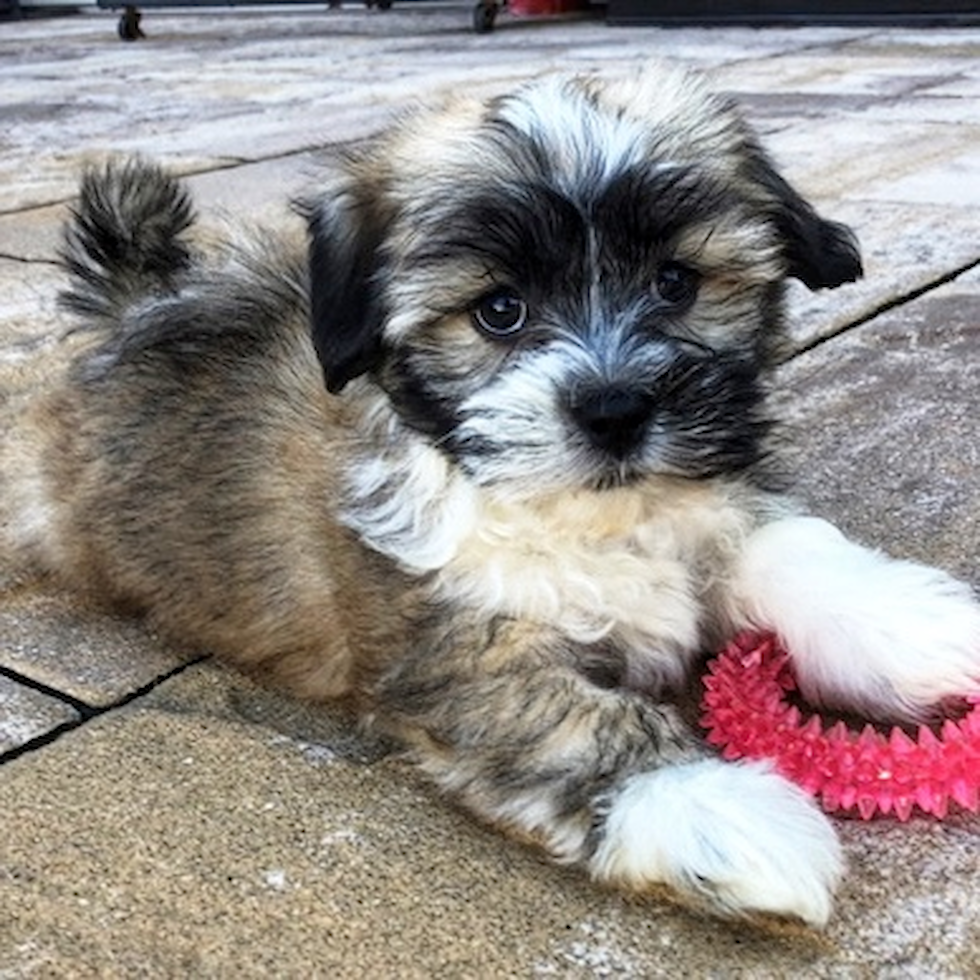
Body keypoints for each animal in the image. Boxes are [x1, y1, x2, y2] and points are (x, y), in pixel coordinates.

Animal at [1, 63, 980, 928]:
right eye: (498, 311)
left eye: (676, 282)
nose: (616, 408)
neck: (597, 514)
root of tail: (129, 312)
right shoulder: (450, 650)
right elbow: (571, 719)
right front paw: (709, 804)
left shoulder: (712, 503)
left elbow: (789, 549)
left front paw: (915, 627)